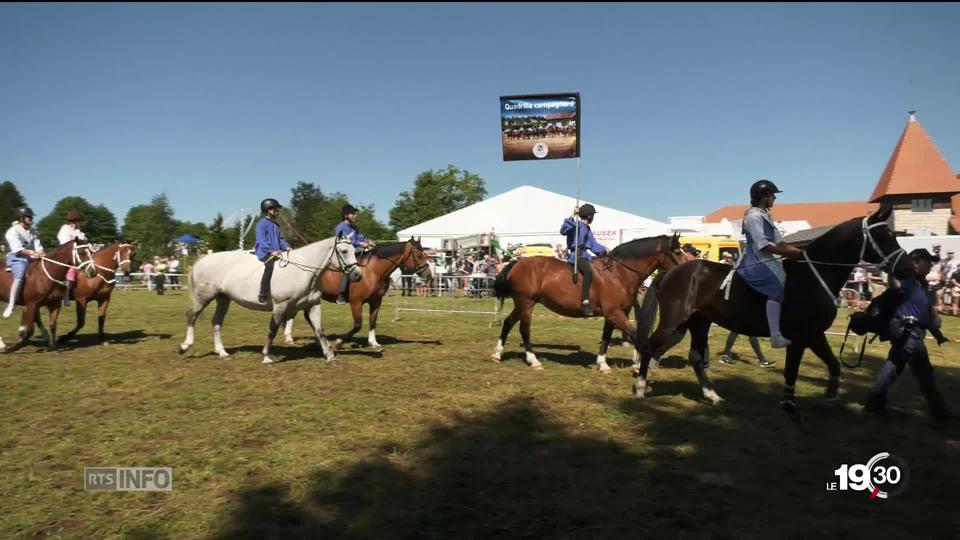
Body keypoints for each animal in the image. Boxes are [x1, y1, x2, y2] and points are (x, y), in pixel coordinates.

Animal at [178, 234, 362, 364]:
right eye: (344, 251)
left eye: (355, 251)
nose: (358, 275)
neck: (302, 271)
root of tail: (202, 259)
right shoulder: (280, 306)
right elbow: (272, 330)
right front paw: (266, 356)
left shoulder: (313, 305)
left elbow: (320, 331)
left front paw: (330, 356)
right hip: (204, 297)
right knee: (191, 315)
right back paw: (185, 346)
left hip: (223, 299)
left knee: (216, 322)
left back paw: (222, 353)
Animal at [284, 238, 432, 352]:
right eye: (418, 254)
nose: (428, 275)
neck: (372, 271)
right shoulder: (356, 302)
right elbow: (357, 325)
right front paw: (338, 342)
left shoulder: (376, 301)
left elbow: (372, 321)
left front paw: (374, 343)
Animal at [492, 236, 688, 372]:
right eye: (678, 252)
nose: (690, 266)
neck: (619, 273)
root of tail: (517, 262)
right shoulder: (615, 313)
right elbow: (635, 334)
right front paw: (639, 365)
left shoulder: (613, 314)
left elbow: (607, 337)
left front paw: (603, 365)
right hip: (526, 303)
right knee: (524, 330)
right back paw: (533, 361)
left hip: (521, 305)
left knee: (508, 322)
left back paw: (497, 354)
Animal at [636, 209, 908, 412]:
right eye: (882, 235)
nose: (905, 265)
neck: (813, 275)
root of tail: (671, 272)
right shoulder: (801, 337)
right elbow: (792, 370)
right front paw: (788, 403)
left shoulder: (814, 335)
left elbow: (833, 365)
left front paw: (830, 395)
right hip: (673, 321)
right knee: (649, 347)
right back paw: (640, 389)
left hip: (698, 323)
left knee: (694, 357)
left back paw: (713, 396)